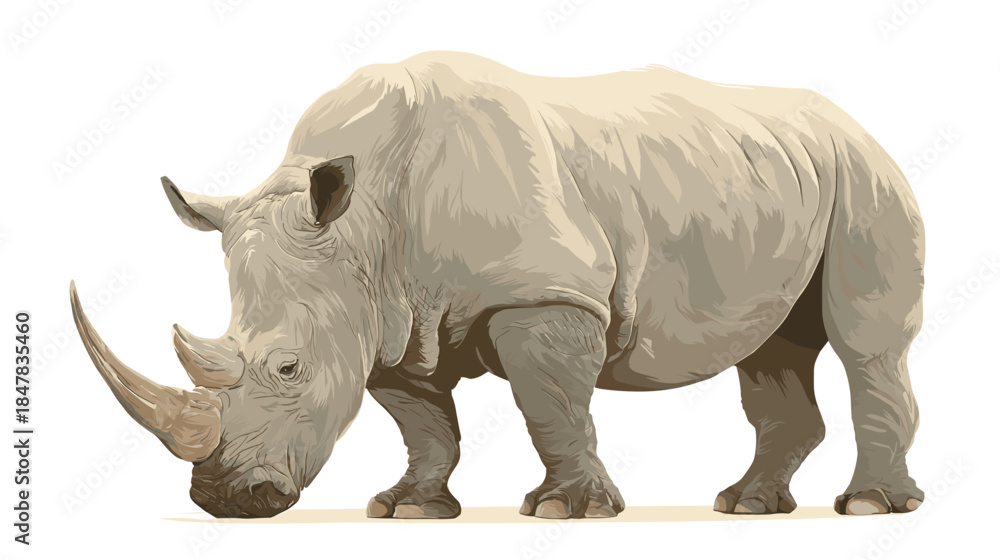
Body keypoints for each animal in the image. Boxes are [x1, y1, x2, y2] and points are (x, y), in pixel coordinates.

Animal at [71, 51, 925, 519]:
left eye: (288, 367)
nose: (221, 501)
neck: (363, 228)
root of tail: (856, 122)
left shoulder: (545, 292)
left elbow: (551, 405)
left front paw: (565, 510)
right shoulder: (385, 318)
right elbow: (422, 421)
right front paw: (409, 508)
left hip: (866, 175)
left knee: (866, 345)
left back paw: (868, 505)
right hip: (780, 174)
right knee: (773, 348)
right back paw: (745, 505)